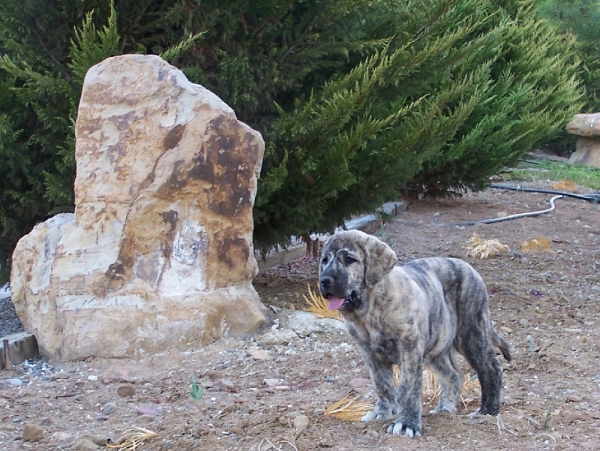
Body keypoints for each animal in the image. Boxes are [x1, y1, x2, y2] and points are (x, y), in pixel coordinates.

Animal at [318, 230, 510, 438]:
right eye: (324, 260)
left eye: (349, 259)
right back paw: (444, 409)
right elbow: (382, 385)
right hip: (438, 345)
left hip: (471, 333)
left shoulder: (409, 348)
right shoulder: (370, 353)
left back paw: (487, 412)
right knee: (453, 375)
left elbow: (408, 389)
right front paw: (382, 413)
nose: (324, 281)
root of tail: (469, 268)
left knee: (491, 368)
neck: (370, 309)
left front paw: (406, 423)